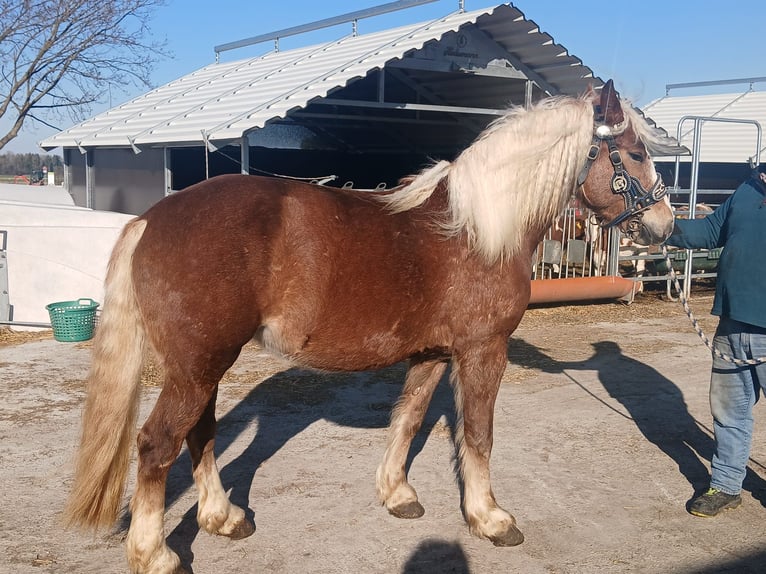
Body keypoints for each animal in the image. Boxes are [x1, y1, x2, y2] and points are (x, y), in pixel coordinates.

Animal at [65, 80, 677, 574]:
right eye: (634, 152)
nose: (664, 224)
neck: (476, 230)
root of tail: (150, 220)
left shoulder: (432, 353)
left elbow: (407, 420)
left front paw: (397, 494)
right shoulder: (483, 349)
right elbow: (478, 435)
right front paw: (490, 518)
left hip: (204, 366)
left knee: (200, 434)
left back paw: (223, 517)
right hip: (197, 367)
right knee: (157, 443)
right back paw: (156, 554)